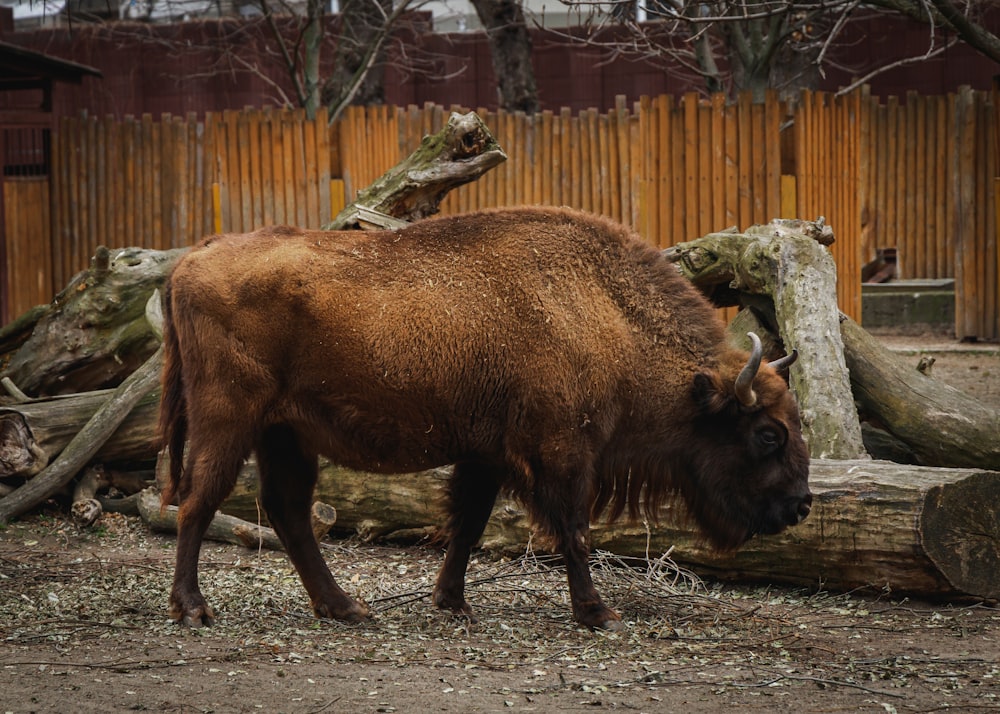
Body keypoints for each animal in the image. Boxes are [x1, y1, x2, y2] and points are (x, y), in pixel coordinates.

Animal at [158, 204, 812, 628]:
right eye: (767, 434)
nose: (800, 506)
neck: (603, 313)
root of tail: (194, 257)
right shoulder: (564, 453)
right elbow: (574, 531)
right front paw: (599, 613)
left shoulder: (487, 455)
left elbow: (468, 525)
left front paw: (454, 603)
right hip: (229, 419)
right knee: (199, 498)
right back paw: (194, 609)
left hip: (284, 432)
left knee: (288, 510)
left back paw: (346, 608)